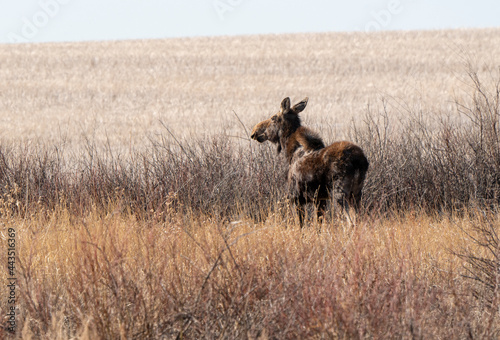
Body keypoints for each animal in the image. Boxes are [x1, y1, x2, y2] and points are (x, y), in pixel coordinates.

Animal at [252, 97, 370, 227]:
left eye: (273, 117)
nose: (255, 131)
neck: (289, 152)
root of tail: (360, 161)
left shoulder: (296, 197)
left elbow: (301, 225)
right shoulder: (319, 199)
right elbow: (318, 224)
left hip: (340, 193)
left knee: (351, 222)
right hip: (357, 193)